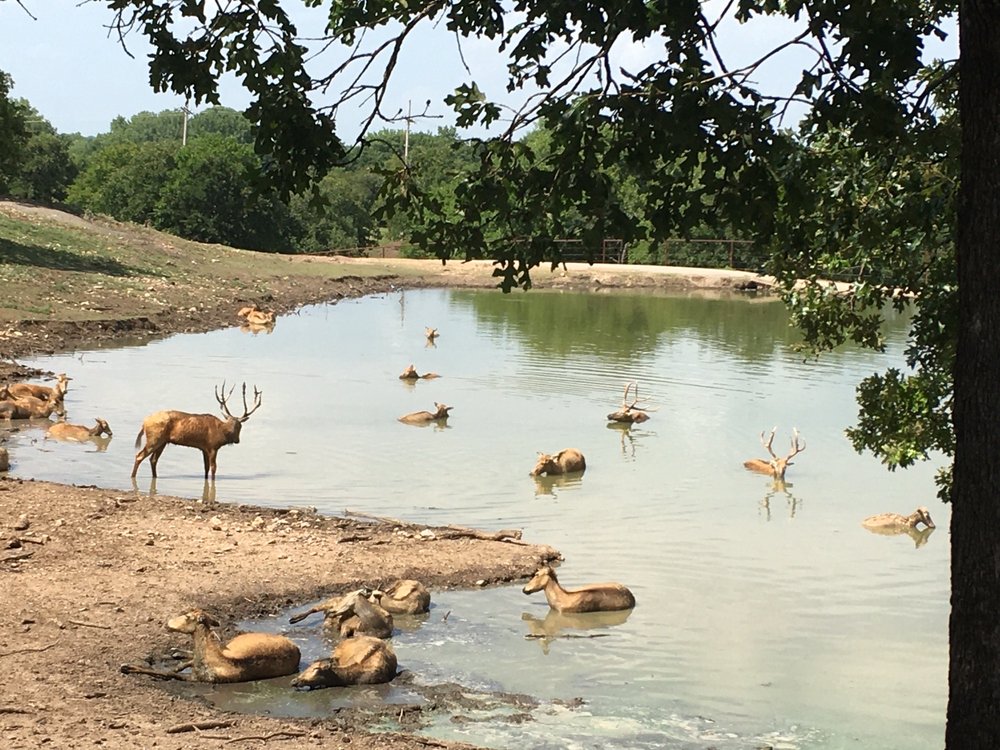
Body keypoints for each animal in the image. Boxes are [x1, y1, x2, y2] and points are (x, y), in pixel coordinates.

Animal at [119, 608, 298, 684]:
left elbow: (167, 673)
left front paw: (127, 667)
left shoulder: (196, 678)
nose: (167, 624)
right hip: (232, 643)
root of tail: (297, 649)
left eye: (187, 616)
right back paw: (175, 652)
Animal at [132, 382, 262, 482]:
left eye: (239, 426)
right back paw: (133, 476)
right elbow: (213, 467)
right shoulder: (213, 446)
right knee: (139, 456)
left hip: (163, 441)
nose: (236, 440)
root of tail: (144, 423)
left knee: (153, 460)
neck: (221, 432)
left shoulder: (204, 448)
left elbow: (206, 467)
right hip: (154, 438)